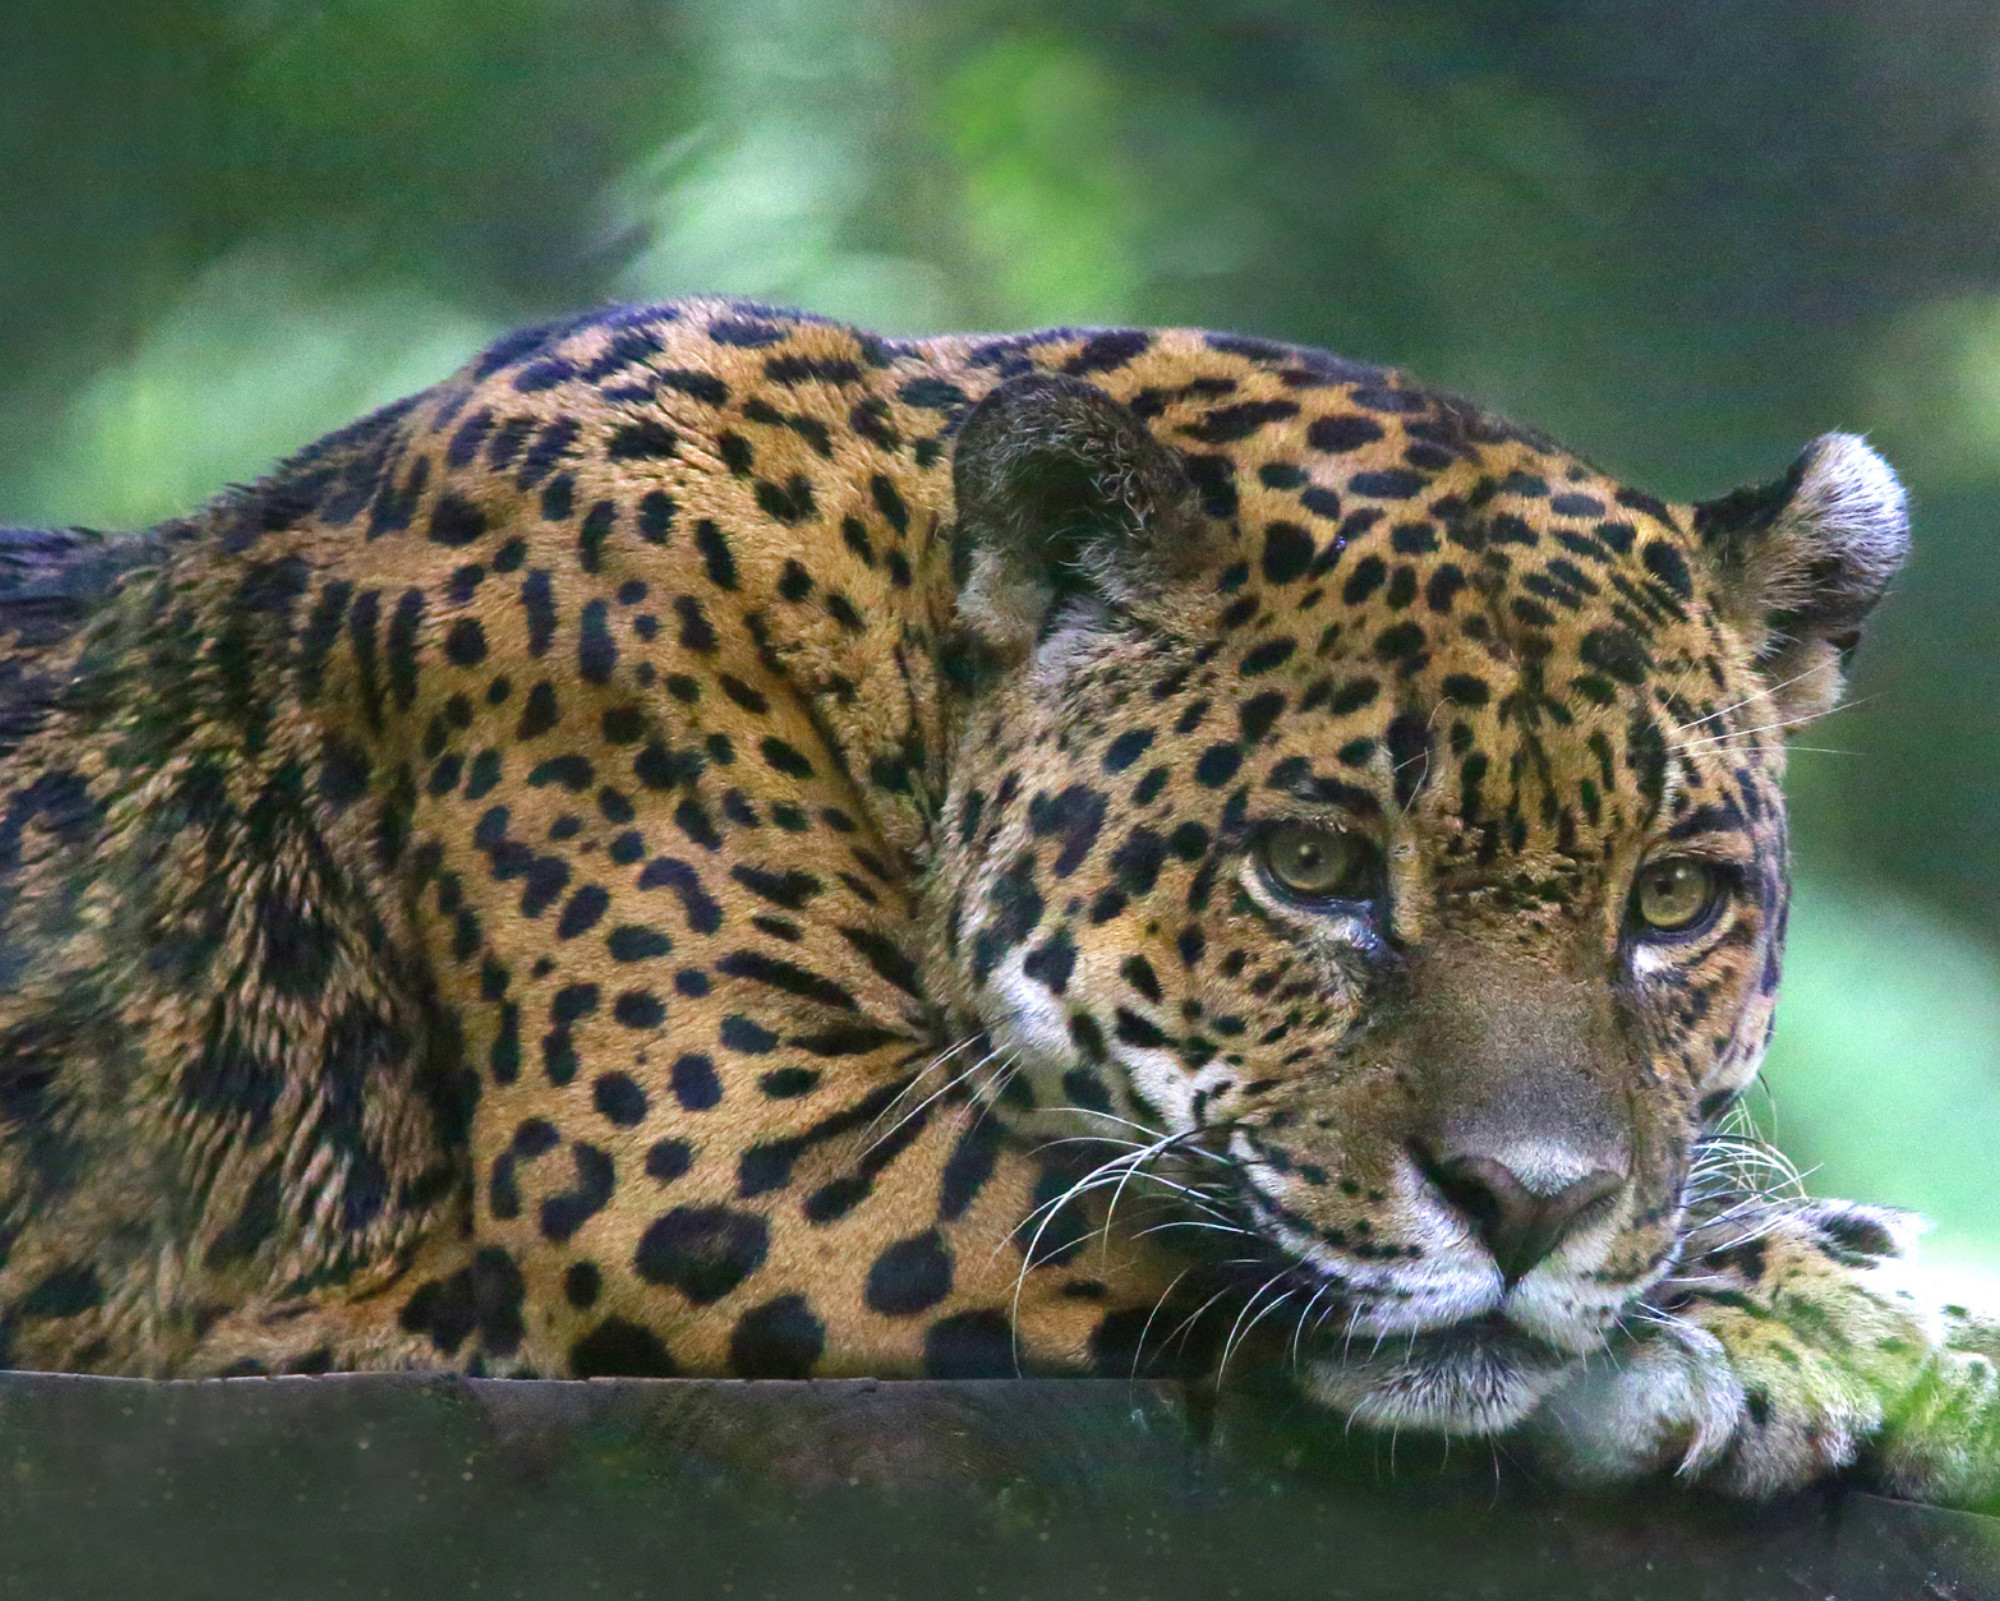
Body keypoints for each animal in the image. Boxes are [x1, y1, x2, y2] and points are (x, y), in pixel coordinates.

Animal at [0, 297, 1993, 1506]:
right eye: (1313, 869)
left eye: (1674, 899)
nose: (1533, 1204)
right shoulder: (705, 1156)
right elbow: (1133, 1214)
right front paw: (1848, 1309)